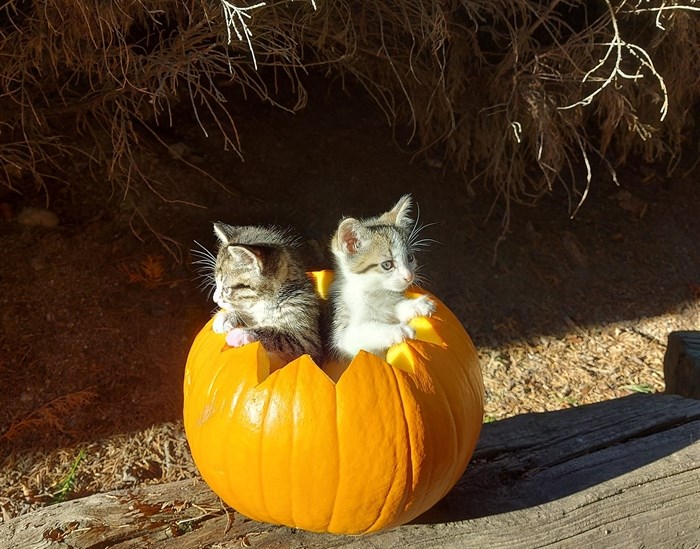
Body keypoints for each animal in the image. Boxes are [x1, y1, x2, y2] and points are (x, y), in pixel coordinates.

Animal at [197, 220, 322, 366]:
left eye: (227, 289)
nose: (215, 299)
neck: (264, 303)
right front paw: (227, 316)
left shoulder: (308, 341)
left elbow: (284, 337)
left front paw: (241, 334)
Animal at [326, 194, 434, 360]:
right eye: (387, 265)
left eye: (410, 258)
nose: (409, 276)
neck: (375, 293)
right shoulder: (340, 335)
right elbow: (361, 332)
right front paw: (396, 330)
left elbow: (393, 309)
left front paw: (414, 305)